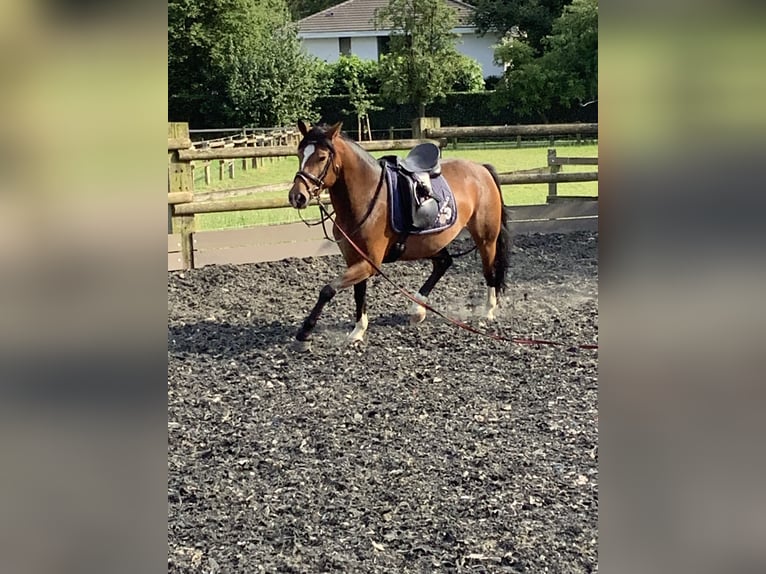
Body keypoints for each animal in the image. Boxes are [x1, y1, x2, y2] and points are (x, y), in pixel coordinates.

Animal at [288, 119, 510, 348]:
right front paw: (358, 330)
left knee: (489, 271)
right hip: (431, 242)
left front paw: (305, 331)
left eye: (322, 157)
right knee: (444, 263)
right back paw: (418, 309)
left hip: (486, 239)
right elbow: (359, 294)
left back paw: (488, 310)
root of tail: (481, 169)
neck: (367, 198)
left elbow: (327, 290)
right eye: (300, 154)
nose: (297, 196)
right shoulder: (355, 259)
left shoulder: (369, 263)